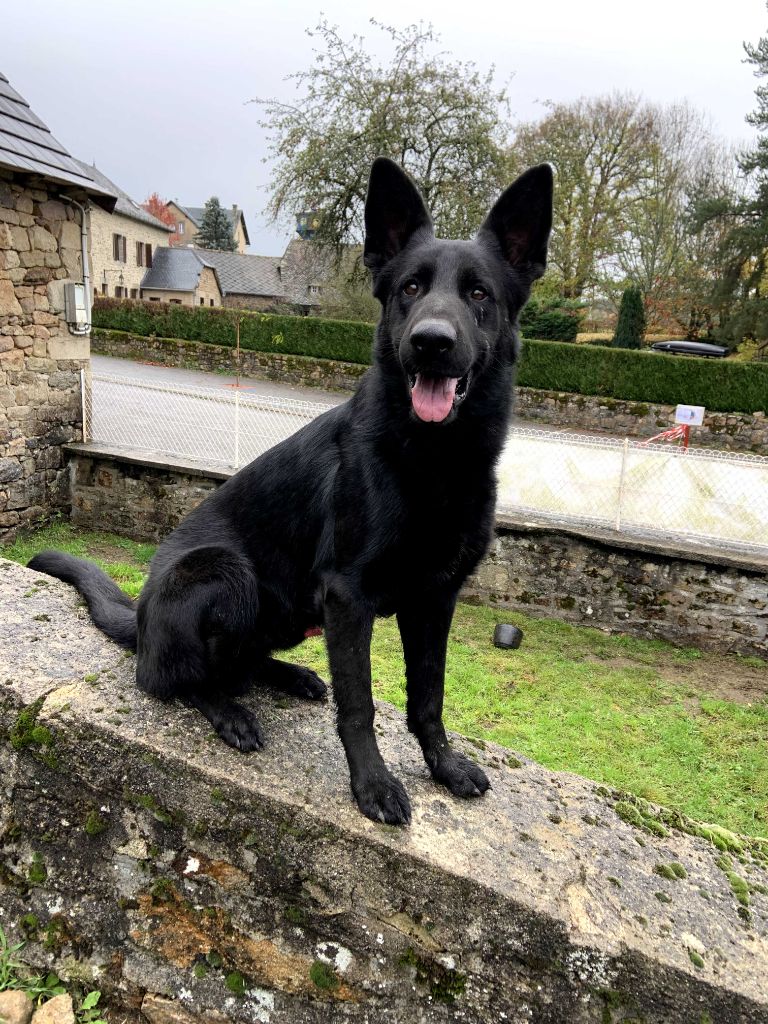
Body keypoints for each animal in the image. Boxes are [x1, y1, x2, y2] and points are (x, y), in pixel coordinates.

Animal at [29, 158, 553, 825]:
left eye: (479, 294)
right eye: (410, 288)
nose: (431, 341)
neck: (432, 459)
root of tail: (141, 618)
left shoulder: (435, 600)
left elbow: (428, 697)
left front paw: (443, 765)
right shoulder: (349, 598)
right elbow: (360, 705)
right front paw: (372, 785)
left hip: (293, 615)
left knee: (243, 663)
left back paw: (289, 678)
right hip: (226, 576)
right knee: (174, 680)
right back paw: (228, 711)